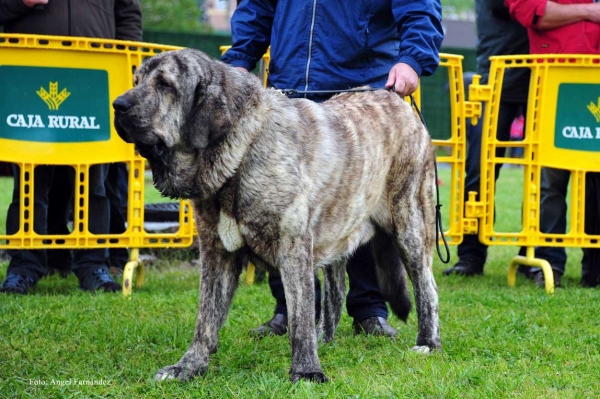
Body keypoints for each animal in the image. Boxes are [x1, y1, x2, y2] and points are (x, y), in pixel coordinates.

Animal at [112, 48, 440, 382]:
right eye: (137, 80)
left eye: (165, 84)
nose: (118, 105)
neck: (242, 150)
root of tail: (395, 99)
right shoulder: (217, 253)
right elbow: (205, 319)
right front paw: (188, 366)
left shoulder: (293, 248)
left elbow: (299, 316)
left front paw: (307, 371)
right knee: (336, 290)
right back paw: (325, 338)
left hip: (409, 224)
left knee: (426, 285)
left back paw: (427, 342)